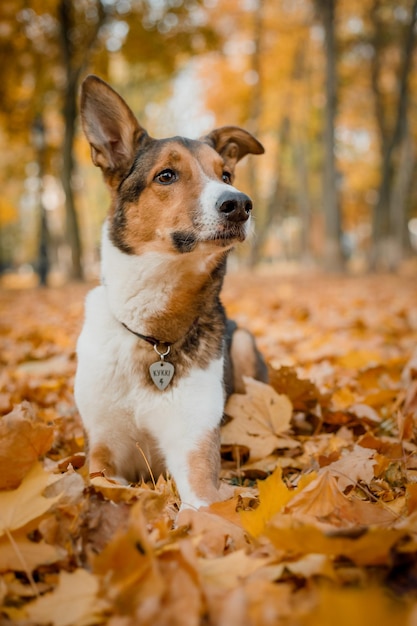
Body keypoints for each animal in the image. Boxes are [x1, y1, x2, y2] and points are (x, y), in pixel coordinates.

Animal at [75, 75, 266, 510]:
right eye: (166, 176)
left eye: (226, 175)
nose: (240, 204)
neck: (153, 333)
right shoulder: (102, 453)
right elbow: (103, 485)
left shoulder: (194, 451)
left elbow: (200, 511)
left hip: (244, 343)